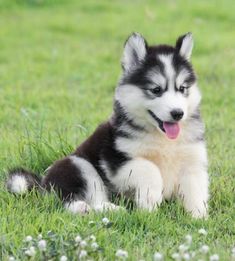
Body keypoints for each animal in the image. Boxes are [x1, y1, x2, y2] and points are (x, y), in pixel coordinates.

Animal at [5, 32, 208, 217]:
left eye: (182, 88)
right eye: (156, 90)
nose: (178, 113)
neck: (164, 140)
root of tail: (42, 183)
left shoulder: (192, 161)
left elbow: (196, 189)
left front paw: (199, 217)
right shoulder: (116, 160)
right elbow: (150, 168)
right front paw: (150, 203)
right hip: (79, 165)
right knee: (75, 200)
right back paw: (88, 208)